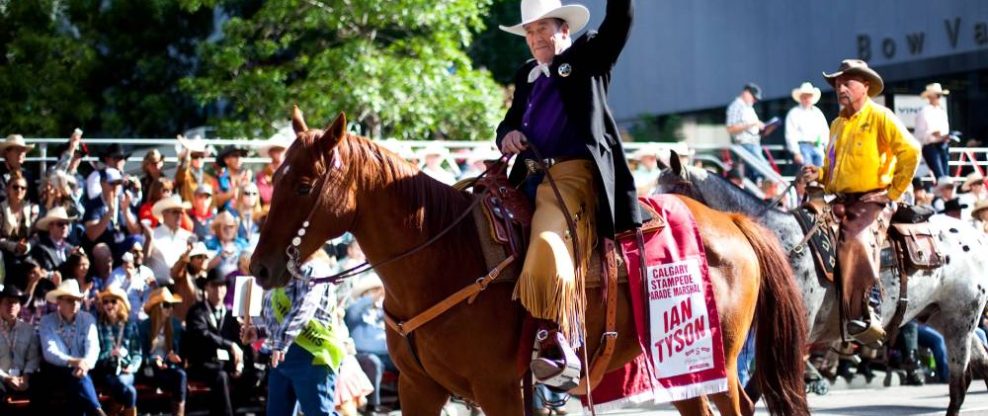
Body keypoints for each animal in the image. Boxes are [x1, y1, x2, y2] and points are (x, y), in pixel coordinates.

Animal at [249, 109, 812, 414]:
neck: (441, 256)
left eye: (304, 186)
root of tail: (732, 222)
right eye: (273, 179)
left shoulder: (499, 390)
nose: (260, 269)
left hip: (718, 359)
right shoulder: (417, 388)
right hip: (682, 368)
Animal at [656, 155, 988, 416]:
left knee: (959, 383)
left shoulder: (789, 335)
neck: (780, 243)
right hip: (943, 318)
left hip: (960, 321)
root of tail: (976, 235)